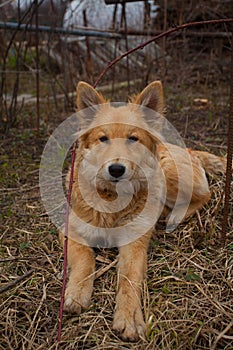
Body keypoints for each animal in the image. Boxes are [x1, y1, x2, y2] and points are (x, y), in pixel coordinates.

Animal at [59, 80, 228, 340]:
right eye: (103, 138)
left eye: (133, 139)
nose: (116, 169)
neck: (113, 200)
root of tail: (188, 149)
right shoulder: (70, 231)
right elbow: (85, 259)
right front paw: (77, 293)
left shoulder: (134, 244)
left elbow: (129, 279)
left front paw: (129, 317)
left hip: (168, 171)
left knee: (204, 195)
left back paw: (174, 216)